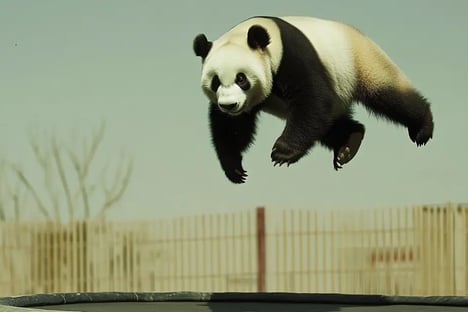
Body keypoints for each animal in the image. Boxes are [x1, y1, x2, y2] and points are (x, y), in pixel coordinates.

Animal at [192, 15, 434, 184]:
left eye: (241, 78)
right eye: (215, 81)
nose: (229, 105)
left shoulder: (291, 56)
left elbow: (314, 99)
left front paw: (282, 152)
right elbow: (232, 127)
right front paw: (234, 169)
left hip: (361, 62)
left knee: (390, 96)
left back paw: (422, 128)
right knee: (329, 123)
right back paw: (349, 142)